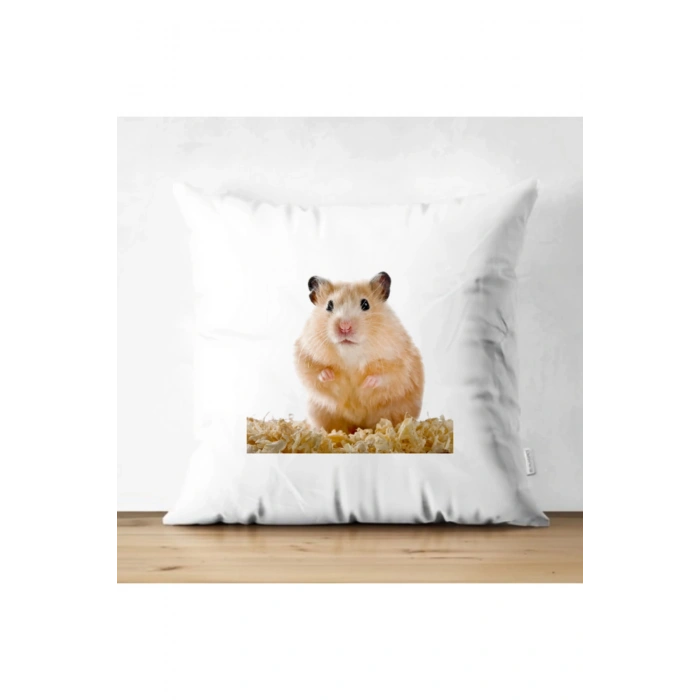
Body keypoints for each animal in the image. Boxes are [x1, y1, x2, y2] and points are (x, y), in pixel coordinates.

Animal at [294, 271, 424, 433]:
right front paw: (329, 375)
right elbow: (314, 372)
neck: (351, 353)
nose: (344, 327)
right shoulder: (304, 353)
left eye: (365, 304)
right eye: (329, 305)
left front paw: (366, 383)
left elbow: (387, 376)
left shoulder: (400, 361)